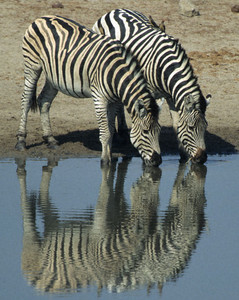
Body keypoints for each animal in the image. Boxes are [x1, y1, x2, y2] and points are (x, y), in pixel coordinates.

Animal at [15, 15, 162, 166]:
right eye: (145, 131)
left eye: (159, 131)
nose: (158, 161)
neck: (115, 73)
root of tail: (42, 18)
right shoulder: (99, 97)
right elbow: (105, 132)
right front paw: (105, 161)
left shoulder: (114, 101)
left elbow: (110, 130)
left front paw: (110, 156)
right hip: (32, 66)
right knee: (26, 100)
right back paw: (21, 141)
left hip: (53, 77)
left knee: (44, 100)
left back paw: (50, 139)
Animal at [92, 8, 210, 164]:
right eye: (191, 128)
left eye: (205, 126)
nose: (201, 158)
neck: (166, 66)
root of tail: (116, 10)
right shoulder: (147, 92)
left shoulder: (171, 96)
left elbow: (176, 124)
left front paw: (183, 155)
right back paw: (122, 132)